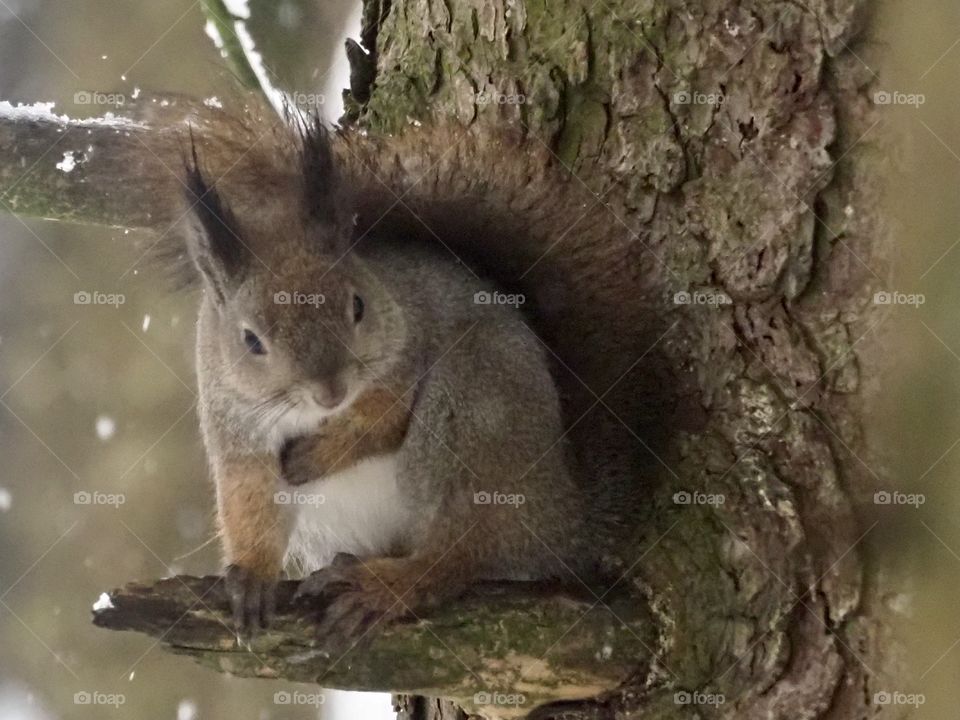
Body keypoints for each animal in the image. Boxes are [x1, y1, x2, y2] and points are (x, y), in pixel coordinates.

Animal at [181, 119, 593, 642]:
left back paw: (388, 584)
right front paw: (251, 578)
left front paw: (319, 455)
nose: (330, 392)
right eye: (250, 340)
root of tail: (569, 520)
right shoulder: (235, 430)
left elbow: (382, 422)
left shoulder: (407, 350)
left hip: (477, 407)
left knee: (457, 554)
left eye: (357, 305)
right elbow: (249, 503)